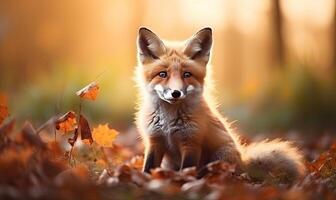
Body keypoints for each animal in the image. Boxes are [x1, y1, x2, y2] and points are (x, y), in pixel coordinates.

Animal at [133, 27, 304, 184]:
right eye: (162, 74)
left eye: (187, 74)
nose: (176, 93)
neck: (168, 121)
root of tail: (243, 162)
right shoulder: (154, 141)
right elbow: (148, 169)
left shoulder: (191, 143)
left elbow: (186, 170)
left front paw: (183, 183)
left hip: (220, 156)